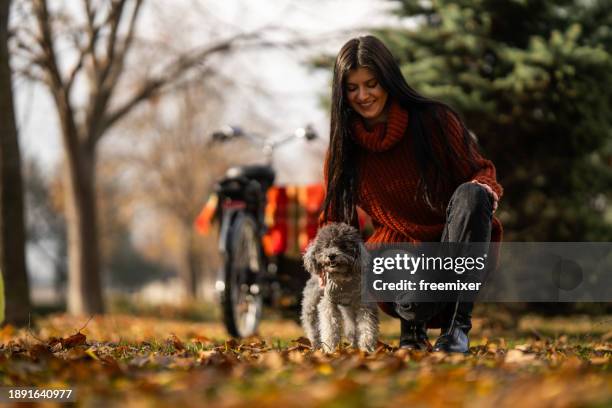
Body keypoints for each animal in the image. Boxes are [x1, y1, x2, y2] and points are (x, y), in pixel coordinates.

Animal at [302, 222, 378, 352]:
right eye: (326, 245)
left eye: (343, 246)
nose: (331, 255)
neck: (342, 280)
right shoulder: (328, 302)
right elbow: (329, 327)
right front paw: (330, 349)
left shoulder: (363, 304)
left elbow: (367, 325)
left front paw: (366, 347)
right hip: (311, 303)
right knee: (312, 326)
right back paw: (316, 345)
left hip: (349, 309)